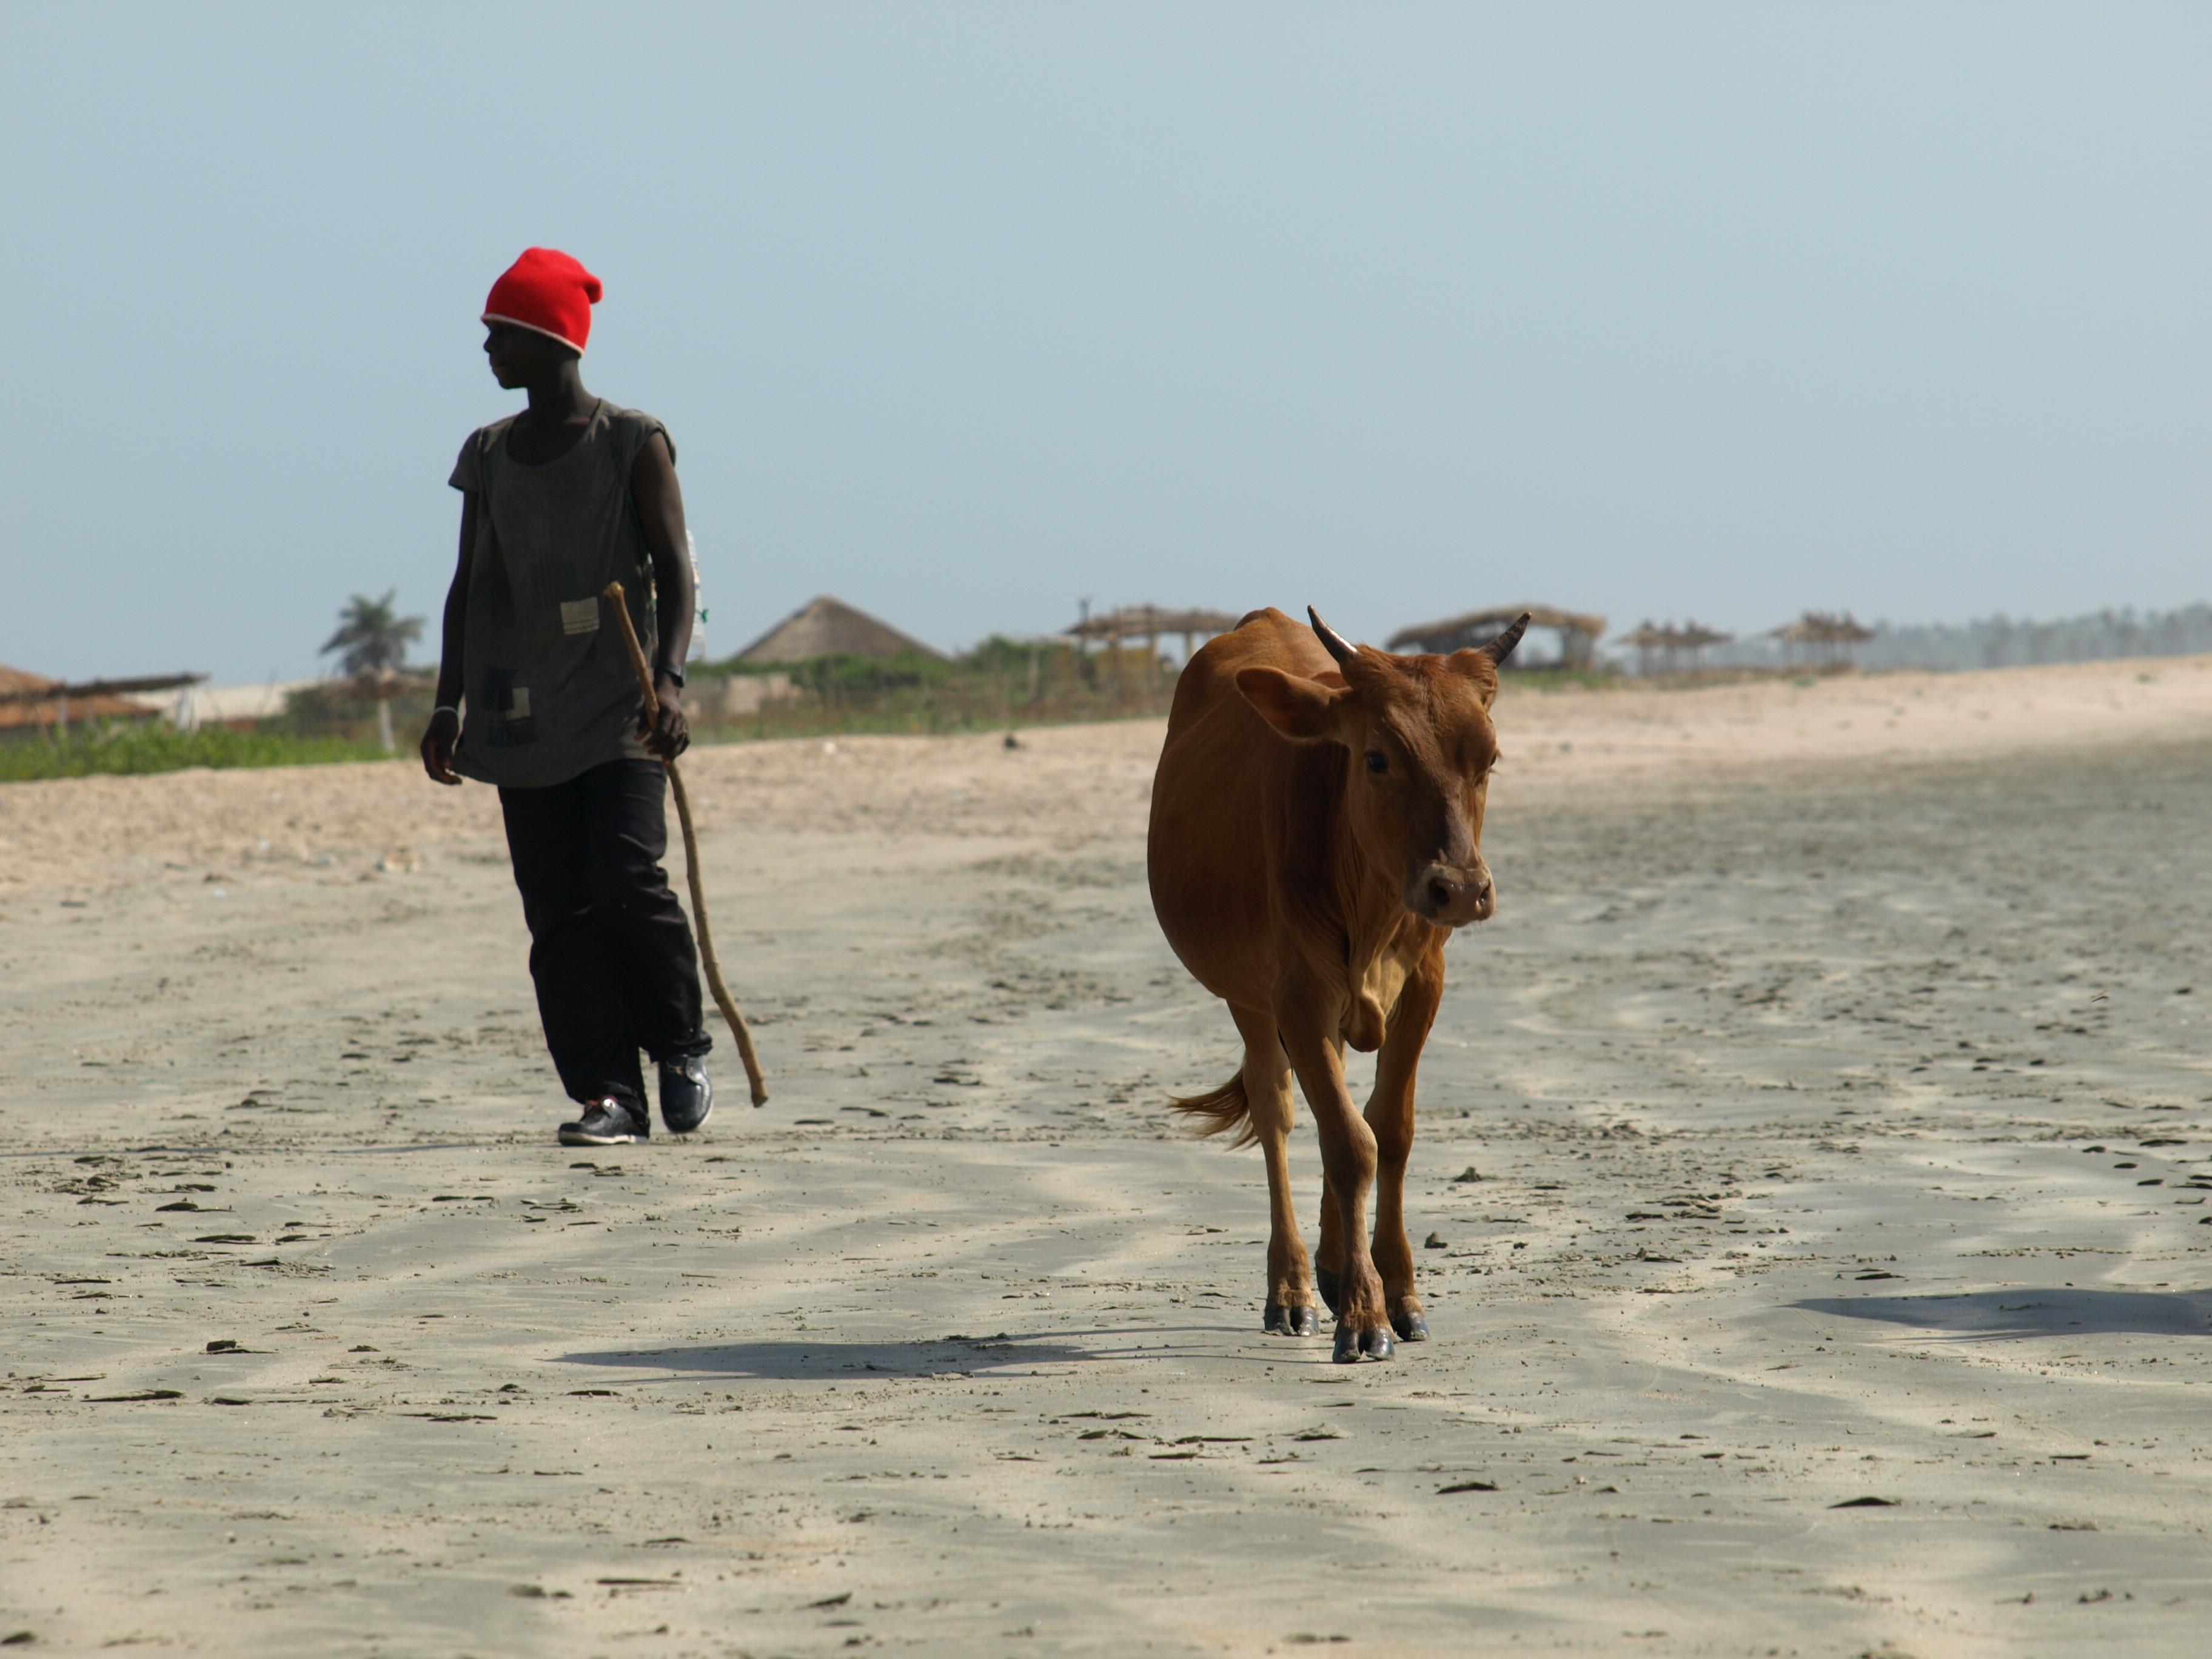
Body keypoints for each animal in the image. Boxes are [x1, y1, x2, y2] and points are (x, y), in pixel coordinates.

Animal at [1141, 606, 1521, 1362]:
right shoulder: (1297, 994)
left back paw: (1334, 1265)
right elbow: (1348, 1143)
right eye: (1377, 758)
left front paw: (1398, 1292)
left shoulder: (1425, 983)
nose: (1460, 889)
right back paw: (1292, 1288)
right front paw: (1364, 1315)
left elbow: (1389, 1131)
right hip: (1248, 998)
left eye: (1488, 759)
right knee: (1278, 1110)